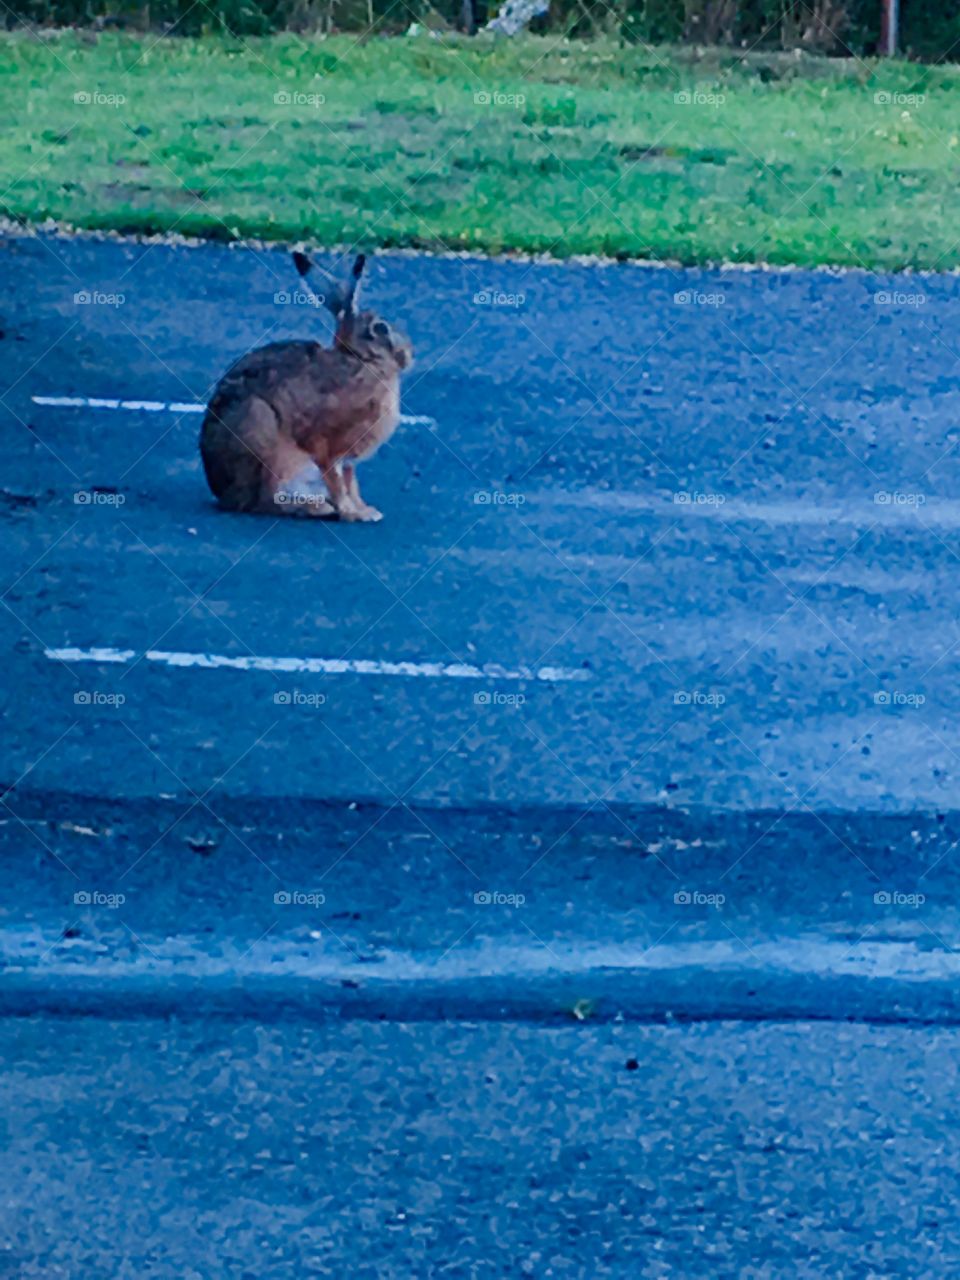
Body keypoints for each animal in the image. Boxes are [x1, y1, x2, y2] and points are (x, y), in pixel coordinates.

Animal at [200, 251, 413, 522]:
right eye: (381, 328)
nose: (409, 355)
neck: (361, 360)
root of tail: (224, 495)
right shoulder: (327, 445)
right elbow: (336, 480)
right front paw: (351, 513)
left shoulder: (349, 461)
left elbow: (351, 483)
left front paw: (365, 511)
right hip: (261, 431)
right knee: (265, 500)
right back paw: (315, 508)